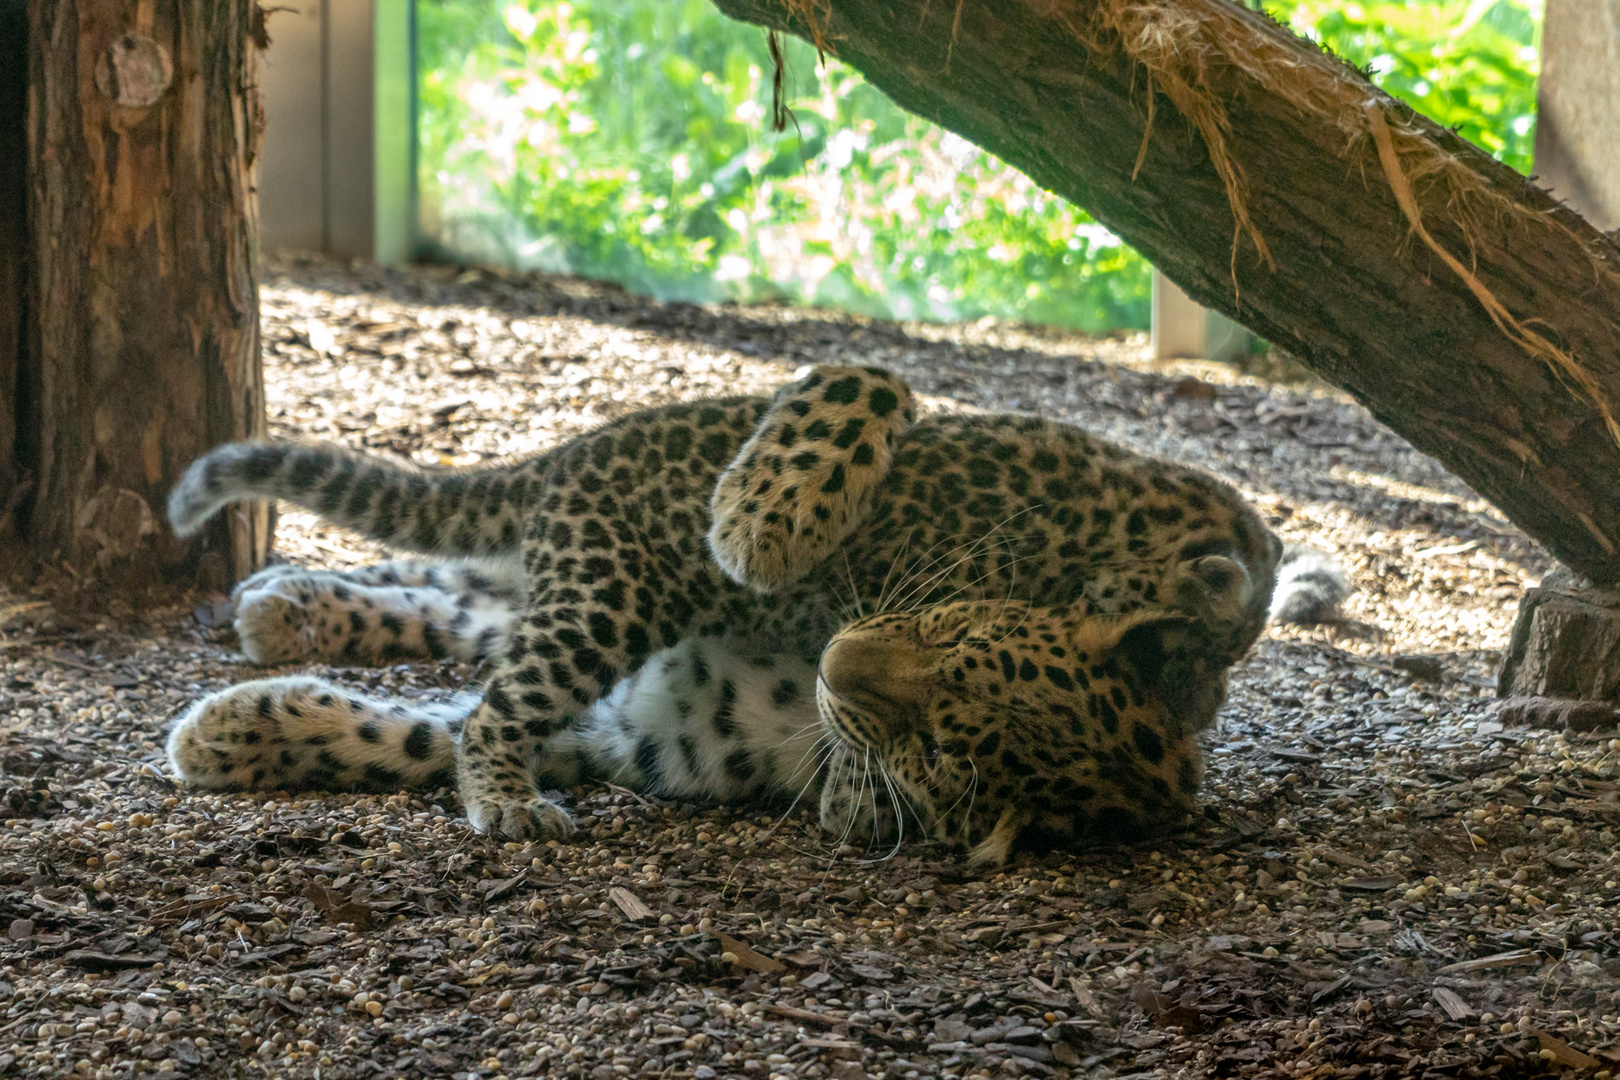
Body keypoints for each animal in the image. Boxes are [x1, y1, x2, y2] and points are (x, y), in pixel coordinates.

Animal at [164, 367, 1341, 867]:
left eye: (940, 748)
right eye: (955, 640)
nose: (837, 661)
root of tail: (562, 467)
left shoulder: (628, 731)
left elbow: (406, 738)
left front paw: (235, 736)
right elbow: (869, 377)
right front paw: (768, 517)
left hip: (595, 604)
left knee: (479, 638)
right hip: (607, 592)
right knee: (475, 624)